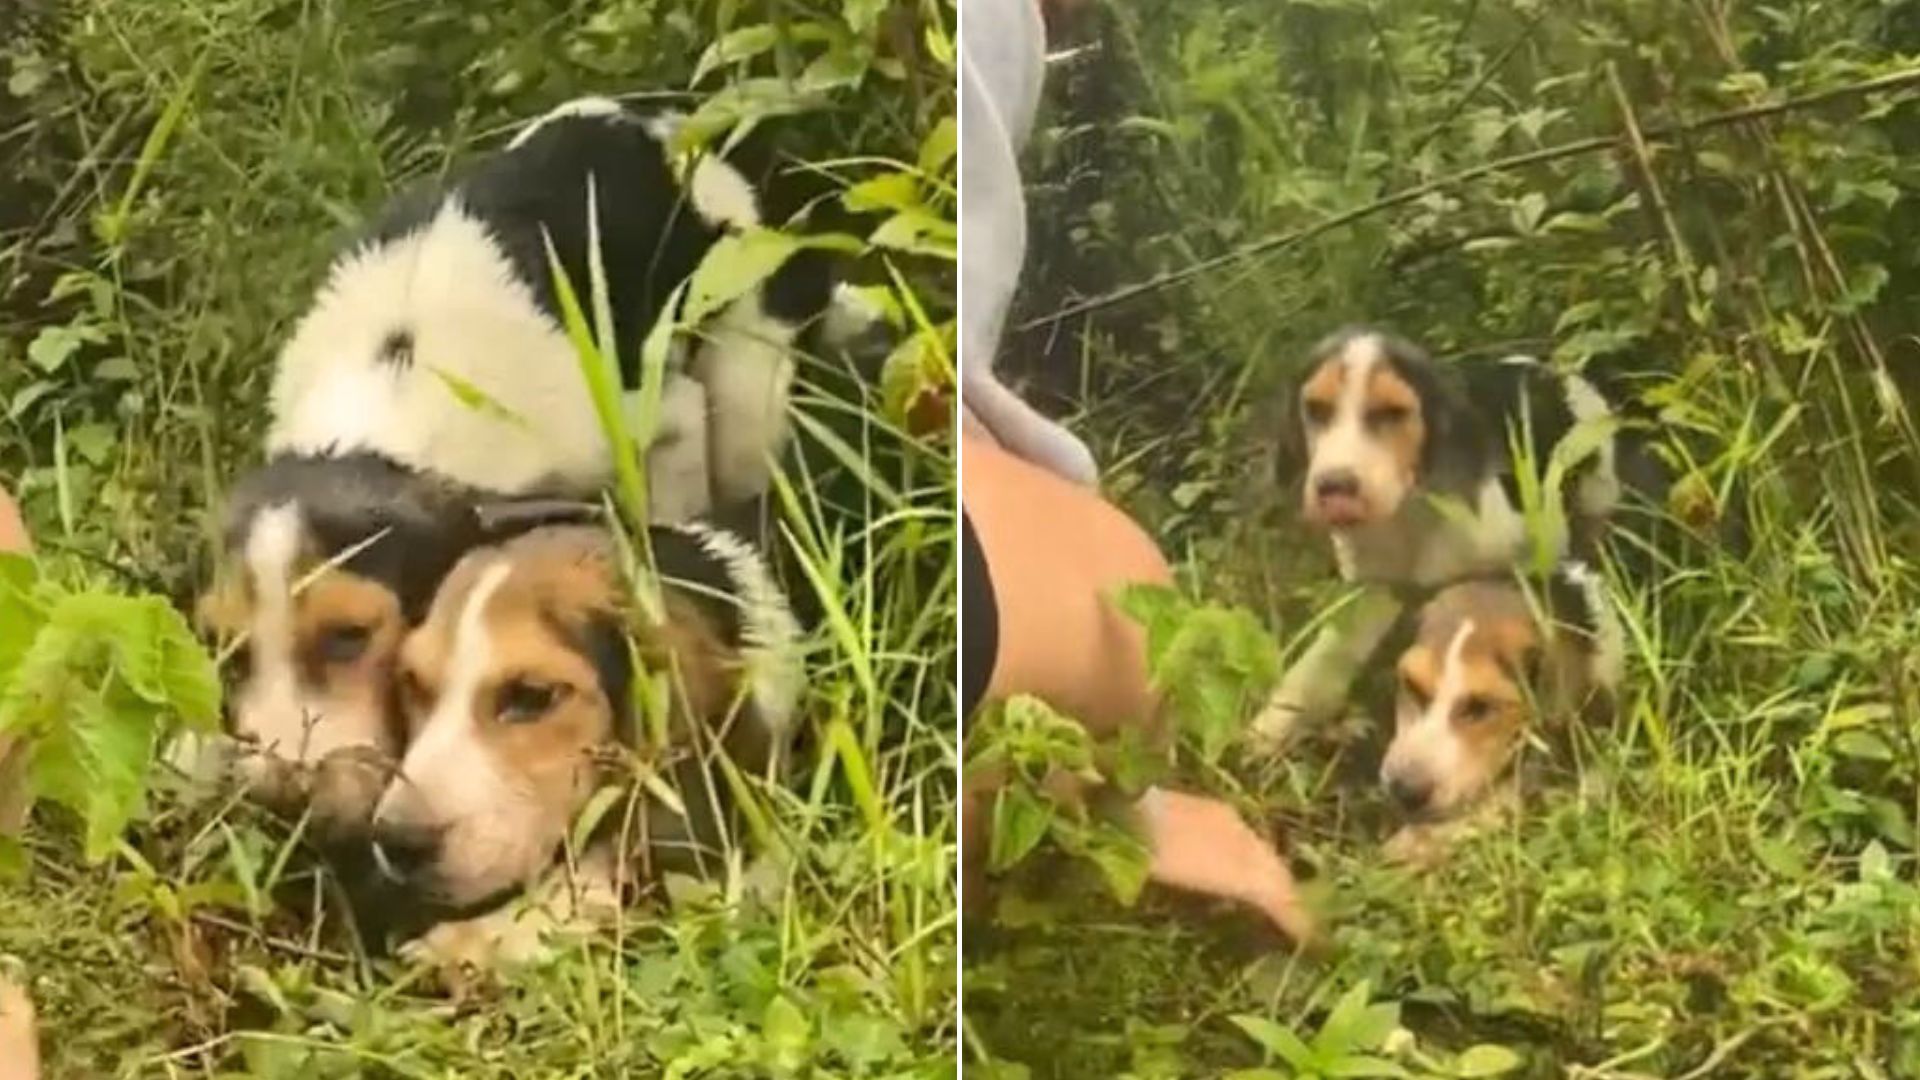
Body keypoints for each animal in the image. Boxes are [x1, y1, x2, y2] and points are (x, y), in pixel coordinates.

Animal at [1244, 326, 1620, 749]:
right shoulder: (1372, 589)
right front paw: (1270, 728)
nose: (1334, 488)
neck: (1410, 512)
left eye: (1392, 413)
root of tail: (1553, 368)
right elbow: (1324, 662)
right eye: (1316, 409)